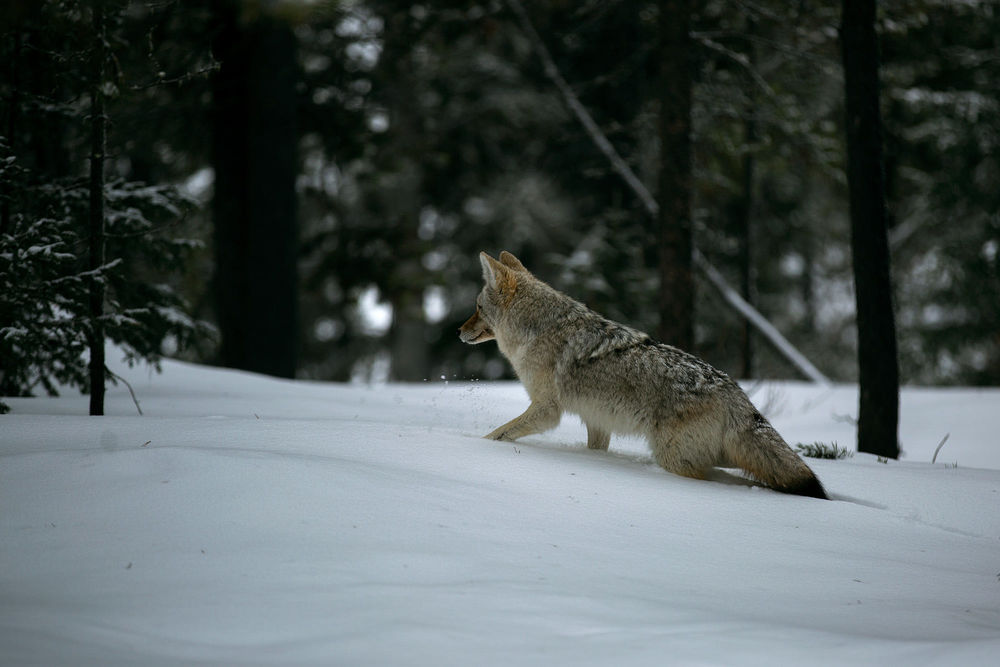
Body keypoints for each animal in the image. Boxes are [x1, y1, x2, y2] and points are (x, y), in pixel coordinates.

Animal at [459, 251, 827, 499]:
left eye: (477, 308)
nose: (458, 332)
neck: (539, 329)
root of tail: (734, 391)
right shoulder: (597, 421)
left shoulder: (547, 411)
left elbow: (497, 435)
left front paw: (473, 444)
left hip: (674, 458)